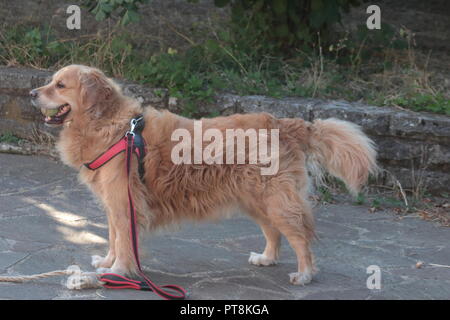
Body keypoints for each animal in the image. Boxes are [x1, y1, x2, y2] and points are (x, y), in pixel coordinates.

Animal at [29, 64, 378, 284]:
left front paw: (117, 271)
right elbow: (114, 237)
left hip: (275, 200)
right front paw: (106, 262)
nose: (32, 93)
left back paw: (304, 274)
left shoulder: (124, 203)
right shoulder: (114, 205)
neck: (110, 125)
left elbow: (124, 242)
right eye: (51, 81)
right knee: (274, 233)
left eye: (60, 85)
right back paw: (266, 258)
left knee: (299, 237)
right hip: (256, 200)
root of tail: (284, 122)